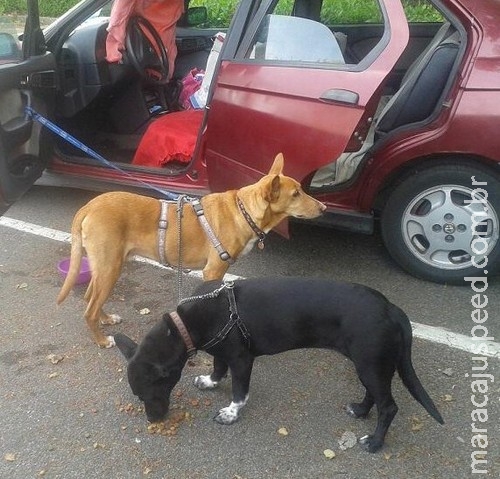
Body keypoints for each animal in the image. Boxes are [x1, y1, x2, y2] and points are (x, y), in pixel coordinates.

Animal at [56, 155, 326, 348]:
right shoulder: (213, 271)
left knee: (90, 297)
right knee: (89, 308)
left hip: (104, 267)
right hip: (110, 268)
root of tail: (90, 205)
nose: (323, 207)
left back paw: (106, 319)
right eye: (296, 194)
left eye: (301, 189)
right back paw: (102, 340)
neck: (243, 210)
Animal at [115, 278, 444, 454]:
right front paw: (210, 381)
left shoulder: (241, 359)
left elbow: (239, 391)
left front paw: (231, 413)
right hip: (367, 363)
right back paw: (361, 411)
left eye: (148, 395)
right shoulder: (222, 350)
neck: (183, 325)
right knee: (373, 394)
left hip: (371, 363)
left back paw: (374, 442)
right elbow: (218, 368)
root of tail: (391, 308)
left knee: (389, 406)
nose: (153, 421)